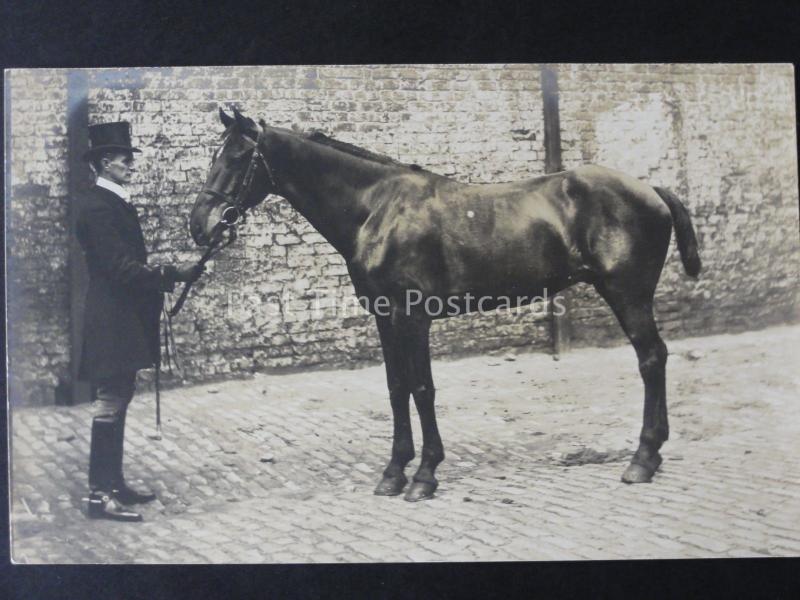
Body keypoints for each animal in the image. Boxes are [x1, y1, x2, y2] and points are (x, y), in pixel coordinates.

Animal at [188, 108, 700, 502]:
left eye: (237, 157)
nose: (200, 225)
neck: (376, 209)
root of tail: (651, 190)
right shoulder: (385, 317)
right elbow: (396, 388)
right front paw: (393, 473)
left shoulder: (413, 317)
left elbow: (422, 389)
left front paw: (424, 476)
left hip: (627, 294)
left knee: (651, 359)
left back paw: (643, 460)